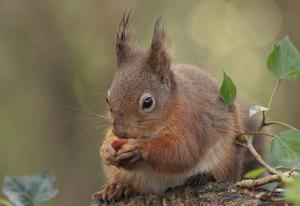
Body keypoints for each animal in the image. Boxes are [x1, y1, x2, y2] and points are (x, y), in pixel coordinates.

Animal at [93, 14, 264, 203]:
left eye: (147, 102)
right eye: (107, 98)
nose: (121, 132)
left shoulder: (191, 121)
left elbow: (181, 152)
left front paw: (139, 148)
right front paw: (106, 149)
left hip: (225, 159)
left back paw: (202, 177)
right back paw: (117, 188)